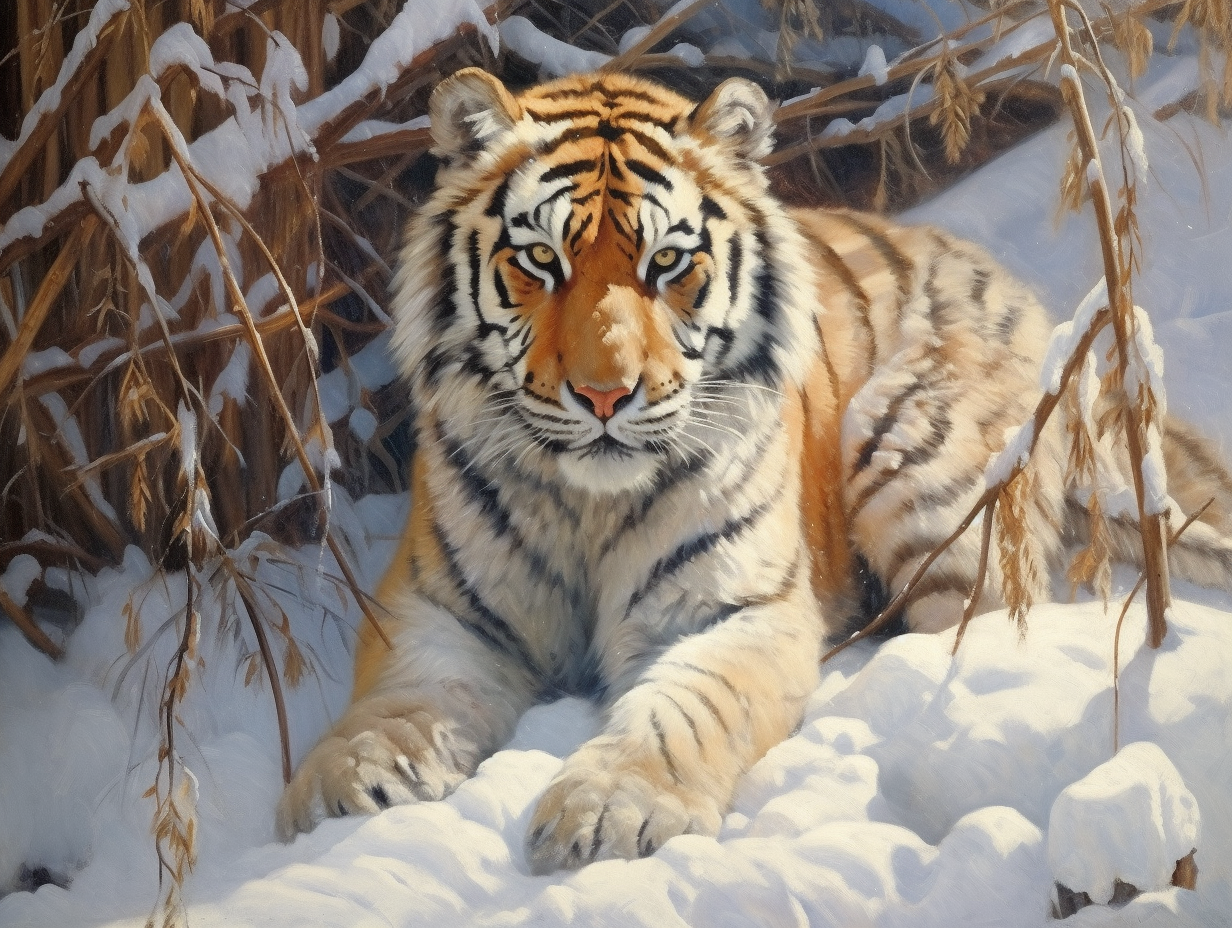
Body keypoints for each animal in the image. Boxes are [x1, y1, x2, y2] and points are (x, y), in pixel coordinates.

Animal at [275, 67, 1232, 873]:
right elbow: (398, 702)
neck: (589, 506)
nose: (604, 394)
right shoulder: (435, 609)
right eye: (541, 259)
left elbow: (683, 709)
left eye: (667, 261)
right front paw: (342, 785)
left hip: (910, 457)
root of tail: (1035, 304)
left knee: (984, 626)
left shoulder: (735, 609)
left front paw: (608, 809)